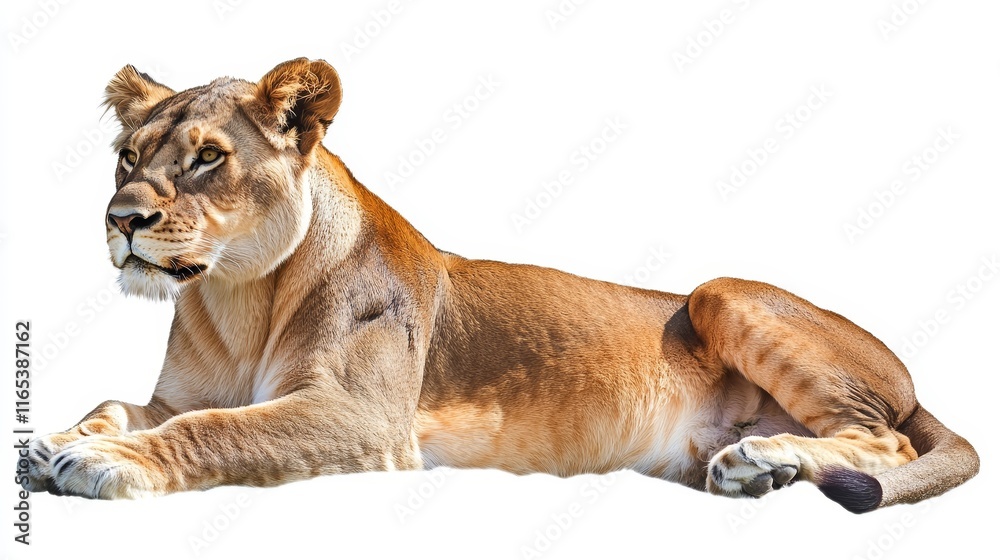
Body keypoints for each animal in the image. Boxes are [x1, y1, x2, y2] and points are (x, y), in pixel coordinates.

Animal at [21, 58, 978, 512]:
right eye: (127, 157)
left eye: (209, 158)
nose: (120, 218)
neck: (236, 297)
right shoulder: (177, 393)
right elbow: (120, 404)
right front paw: (57, 438)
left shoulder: (361, 419)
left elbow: (212, 431)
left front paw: (99, 462)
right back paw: (753, 470)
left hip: (720, 292)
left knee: (888, 443)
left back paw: (767, 459)